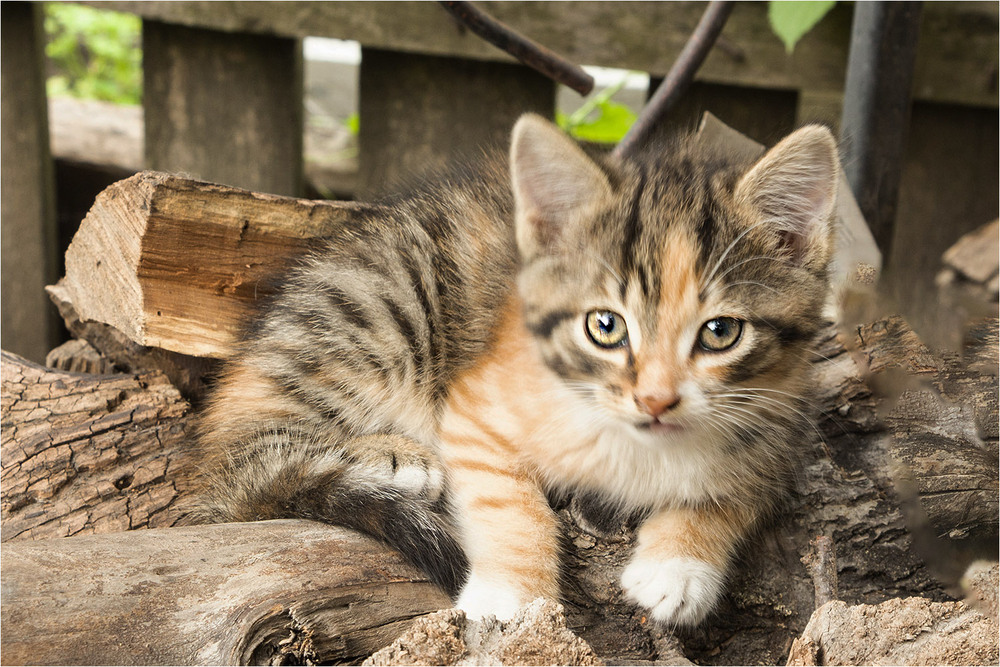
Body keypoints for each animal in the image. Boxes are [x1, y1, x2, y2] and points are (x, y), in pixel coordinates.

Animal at [191, 112, 840, 628]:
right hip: (380, 310)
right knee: (249, 462)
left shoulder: (783, 419)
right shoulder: (477, 404)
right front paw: (511, 596)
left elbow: (732, 490)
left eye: (720, 332)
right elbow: (507, 501)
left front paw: (678, 567)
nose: (656, 400)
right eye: (606, 326)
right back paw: (392, 455)